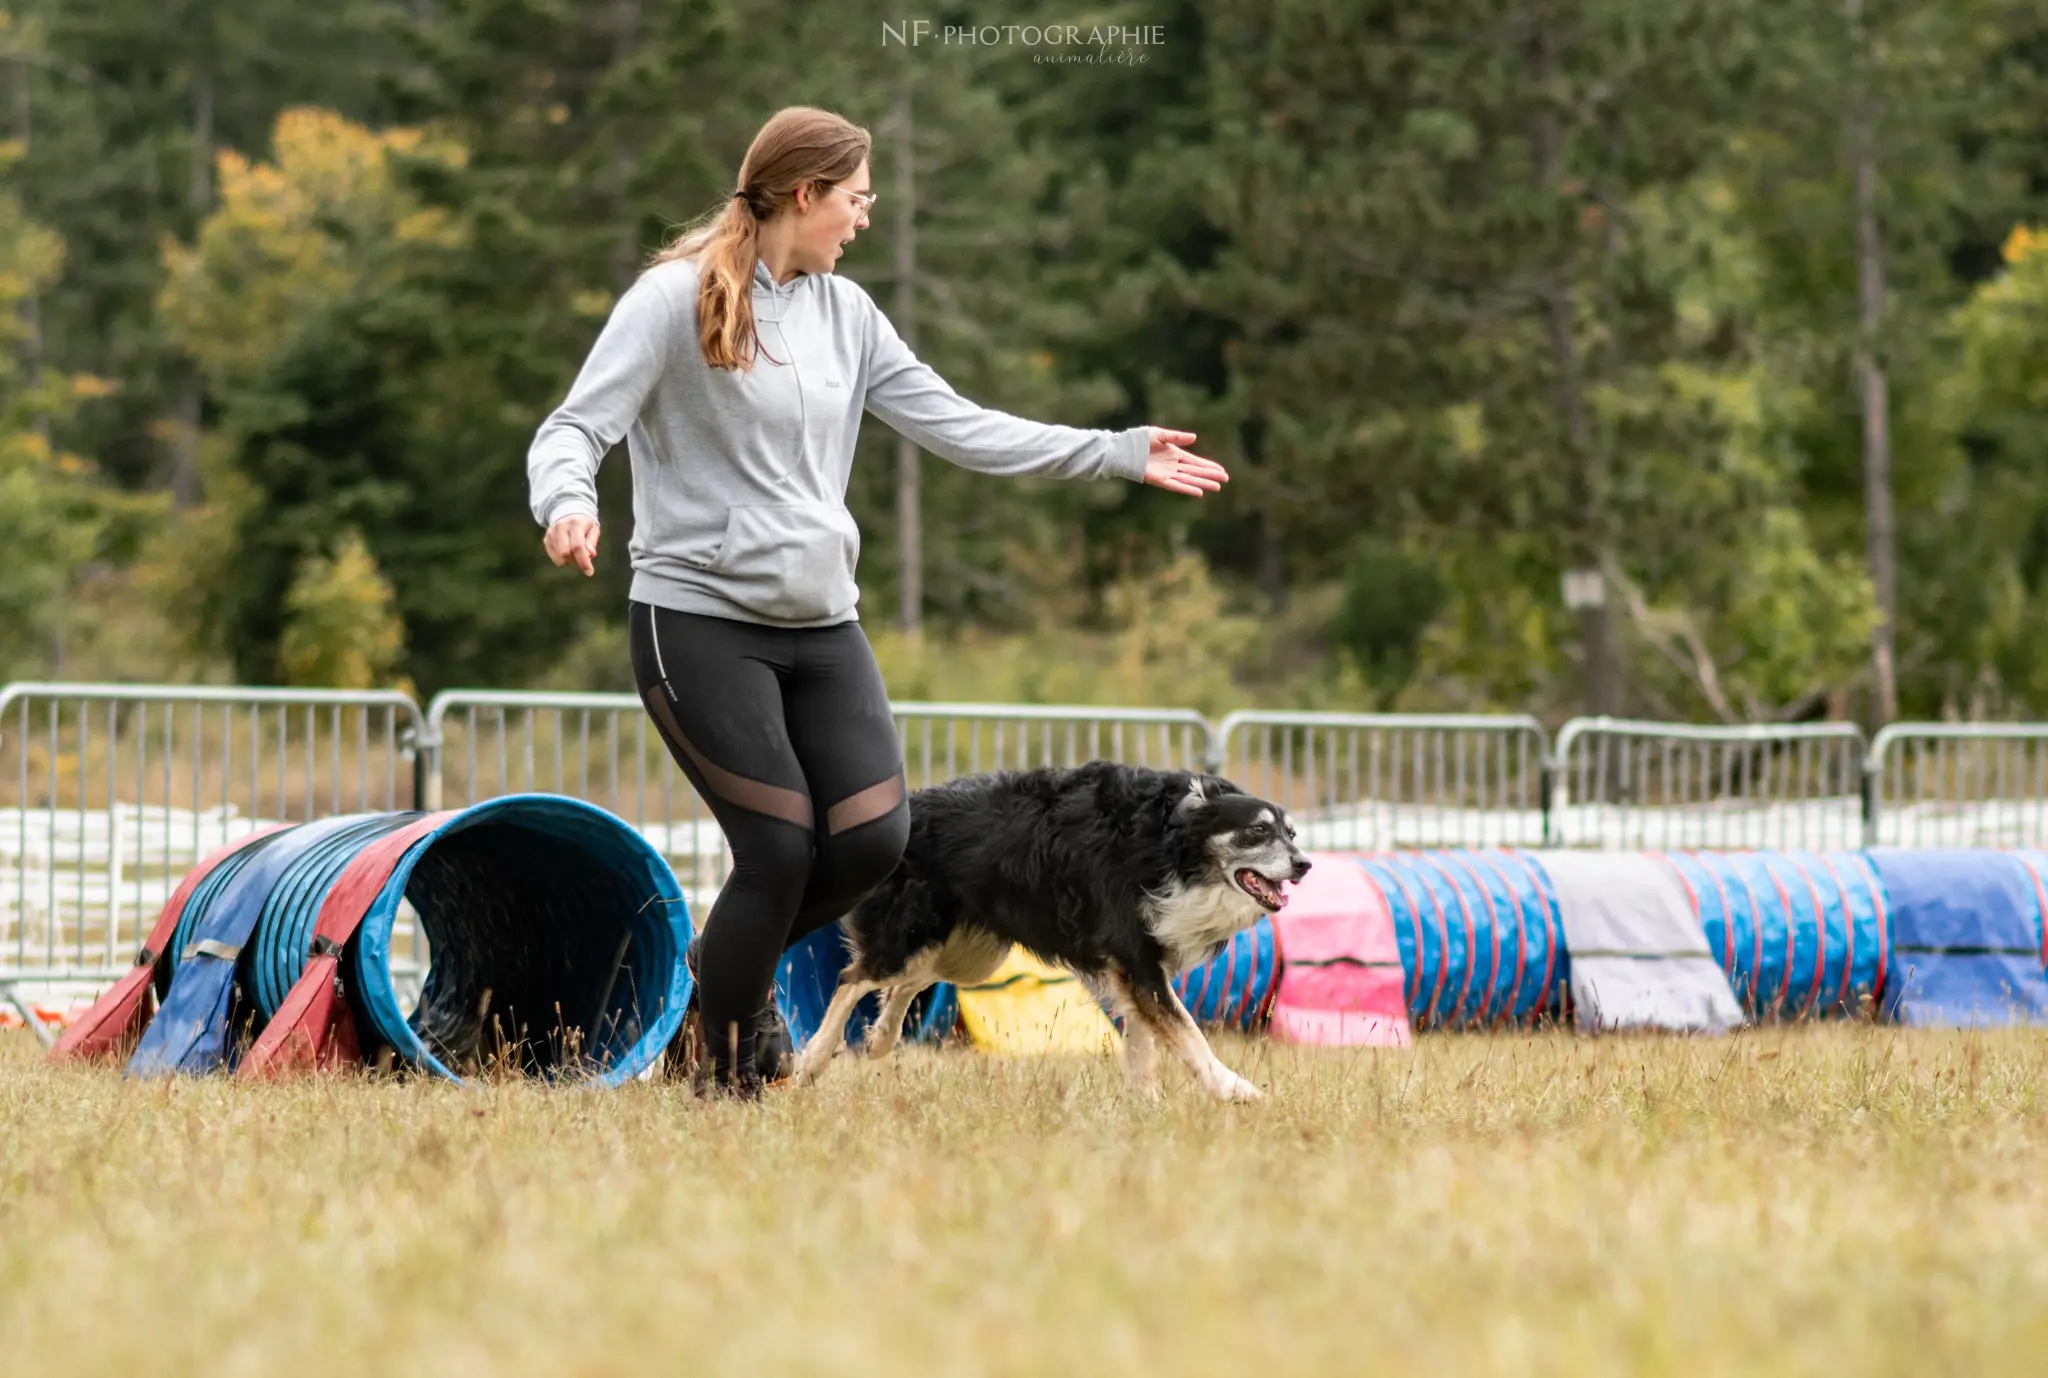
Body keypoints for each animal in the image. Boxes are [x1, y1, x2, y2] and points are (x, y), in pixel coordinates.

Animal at [790, 757, 1302, 1105]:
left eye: (1292, 834)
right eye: (1257, 830)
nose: (1305, 864)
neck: (1173, 846)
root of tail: (908, 808)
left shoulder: (1139, 968)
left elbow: (1145, 1046)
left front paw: (1147, 1107)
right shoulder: (1136, 960)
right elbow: (1189, 1033)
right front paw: (1234, 1087)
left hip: (967, 954)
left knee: (904, 983)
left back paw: (879, 1038)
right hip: (918, 931)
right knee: (855, 978)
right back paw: (813, 1059)